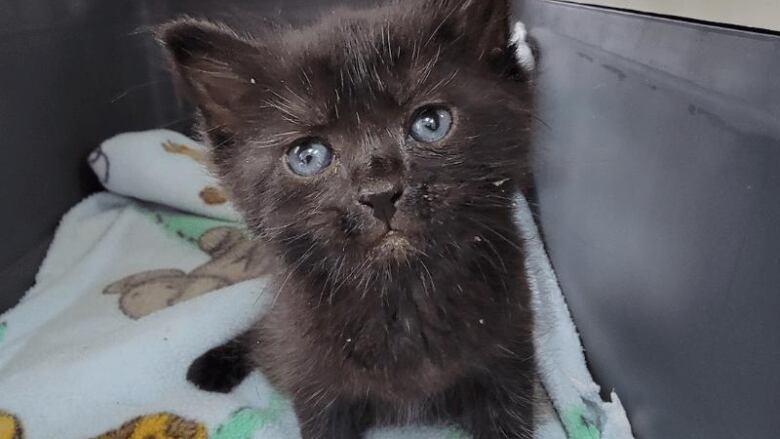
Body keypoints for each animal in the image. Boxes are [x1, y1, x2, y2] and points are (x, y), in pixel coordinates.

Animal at [158, 1, 536, 438]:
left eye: (430, 123)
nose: (379, 193)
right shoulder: (317, 385)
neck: (402, 297)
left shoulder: (508, 360)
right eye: (308, 156)